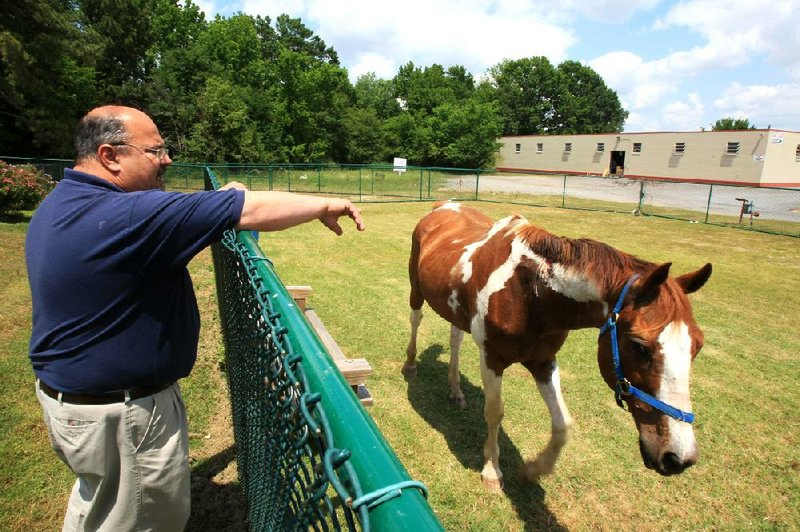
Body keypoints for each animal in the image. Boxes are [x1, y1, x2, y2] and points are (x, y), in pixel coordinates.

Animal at [404, 202, 708, 492]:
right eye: (640, 346)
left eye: (698, 346)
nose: (679, 457)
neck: (531, 292)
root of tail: (442, 207)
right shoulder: (492, 358)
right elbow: (494, 411)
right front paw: (492, 471)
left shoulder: (543, 361)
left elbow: (563, 424)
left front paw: (534, 469)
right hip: (416, 290)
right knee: (416, 320)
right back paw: (410, 365)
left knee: (455, 339)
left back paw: (455, 390)